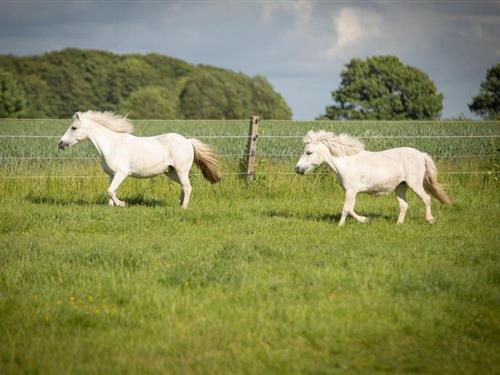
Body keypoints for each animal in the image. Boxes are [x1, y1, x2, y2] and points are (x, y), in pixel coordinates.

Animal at [58, 110, 221, 210]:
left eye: (73, 127)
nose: (60, 143)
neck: (112, 145)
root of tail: (188, 141)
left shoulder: (121, 173)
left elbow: (110, 190)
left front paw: (122, 204)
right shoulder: (111, 175)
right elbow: (111, 191)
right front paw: (112, 207)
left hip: (181, 170)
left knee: (188, 187)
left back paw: (183, 208)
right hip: (171, 172)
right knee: (184, 186)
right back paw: (179, 202)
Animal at [294, 131, 452, 226]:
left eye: (309, 152)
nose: (297, 169)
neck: (346, 163)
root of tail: (421, 155)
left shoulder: (351, 190)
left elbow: (346, 208)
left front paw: (341, 225)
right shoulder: (352, 191)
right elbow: (351, 208)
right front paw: (364, 220)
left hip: (415, 184)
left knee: (427, 198)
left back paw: (430, 219)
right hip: (401, 186)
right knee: (404, 205)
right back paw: (398, 224)